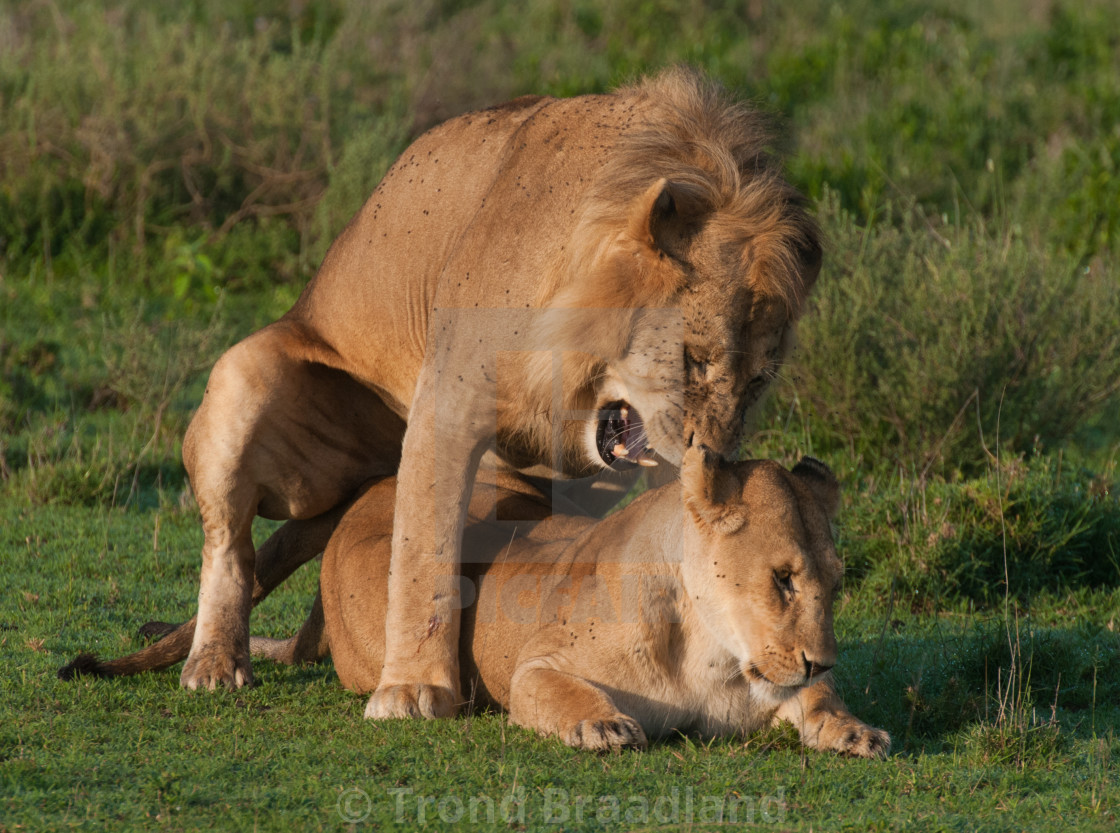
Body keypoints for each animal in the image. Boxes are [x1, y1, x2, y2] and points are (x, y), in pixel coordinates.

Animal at [165, 64, 819, 721]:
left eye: (758, 380)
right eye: (693, 359)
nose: (714, 456)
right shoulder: (446, 405)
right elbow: (423, 554)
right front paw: (412, 689)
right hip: (248, 372)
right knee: (232, 548)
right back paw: (215, 662)